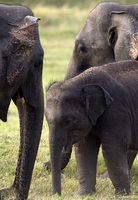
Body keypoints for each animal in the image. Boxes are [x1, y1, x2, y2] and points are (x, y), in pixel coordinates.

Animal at [45, 59, 138, 195]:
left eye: (68, 121)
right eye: (46, 119)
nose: (56, 195)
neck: (81, 82)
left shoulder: (117, 109)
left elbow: (112, 148)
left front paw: (122, 195)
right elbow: (85, 149)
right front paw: (83, 195)